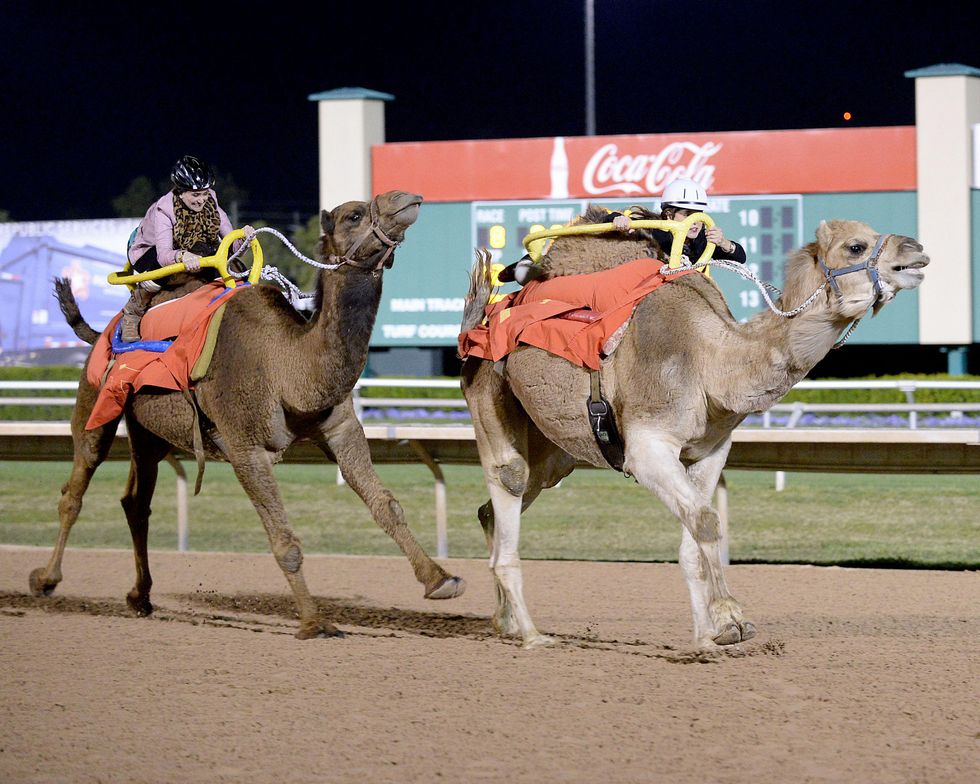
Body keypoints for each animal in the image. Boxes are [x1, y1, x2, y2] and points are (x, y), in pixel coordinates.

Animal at [30, 190, 465, 638]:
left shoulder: (341, 428)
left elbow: (386, 505)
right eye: (354, 215)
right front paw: (314, 622)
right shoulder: (245, 447)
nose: (407, 199)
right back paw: (45, 580)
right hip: (96, 399)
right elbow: (284, 541)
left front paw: (441, 580)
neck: (288, 366)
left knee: (136, 501)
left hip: (147, 431)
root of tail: (101, 334)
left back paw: (141, 597)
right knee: (76, 486)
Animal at [459, 209, 929, 649]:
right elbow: (705, 522)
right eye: (856, 246)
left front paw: (707, 639)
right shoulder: (647, 446)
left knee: (499, 503)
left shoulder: (709, 451)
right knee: (510, 477)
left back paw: (504, 622)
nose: (917, 251)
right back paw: (531, 634)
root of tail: (480, 321)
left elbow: (693, 539)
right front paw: (733, 618)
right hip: (487, 390)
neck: (713, 362)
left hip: (555, 447)